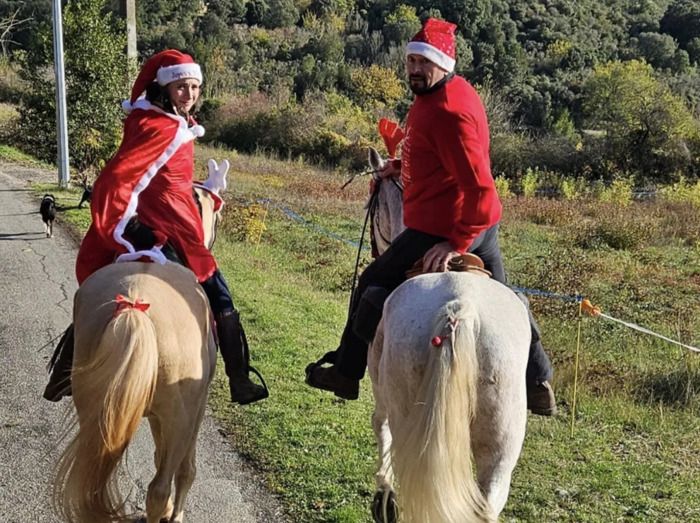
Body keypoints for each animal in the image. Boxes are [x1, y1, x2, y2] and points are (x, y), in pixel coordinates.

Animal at [55, 162, 230, 520]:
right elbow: (185, 469)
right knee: (159, 488)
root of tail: (134, 308)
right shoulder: (193, 411)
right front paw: (176, 514)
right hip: (180, 417)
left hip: (94, 407)